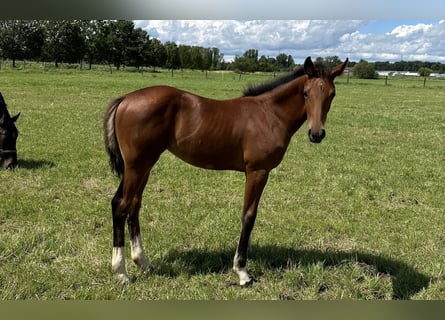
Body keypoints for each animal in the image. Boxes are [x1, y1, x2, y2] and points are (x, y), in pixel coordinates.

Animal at [104, 56, 346, 284]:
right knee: (122, 205)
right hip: (137, 165)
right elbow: (249, 216)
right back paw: (121, 273)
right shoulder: (257, 172)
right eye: (306, 93)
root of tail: (125, 99)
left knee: (133, 205)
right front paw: (242, 271)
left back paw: (143, 263)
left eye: (332, 95)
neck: (269, 114)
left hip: (144, 165)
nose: (316, 133)